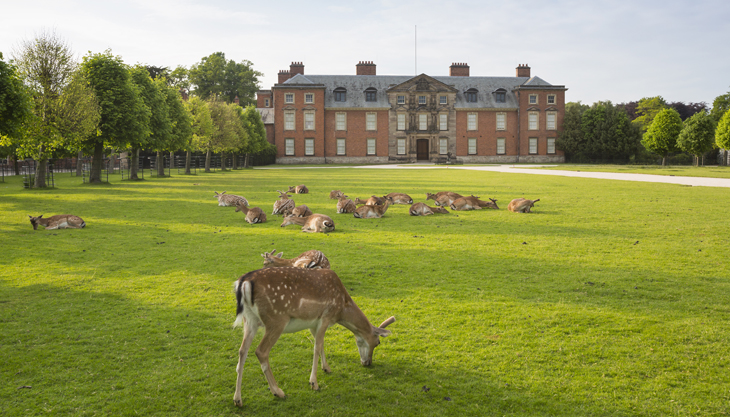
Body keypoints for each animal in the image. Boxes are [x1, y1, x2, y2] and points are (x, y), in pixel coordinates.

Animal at [232, 266, 396, 406]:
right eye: (377, 342)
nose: (368, 363)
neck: (341, 309)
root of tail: (244, 282)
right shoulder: (326, 316)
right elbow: (317, 347)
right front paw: (314, 383)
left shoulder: (313, 323)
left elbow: (321, 344)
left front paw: (327, 368)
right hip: (276, 319)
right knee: (261, 351)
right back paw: (278, 392)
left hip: (249, 320)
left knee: (242, 351)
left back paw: (238, 399)